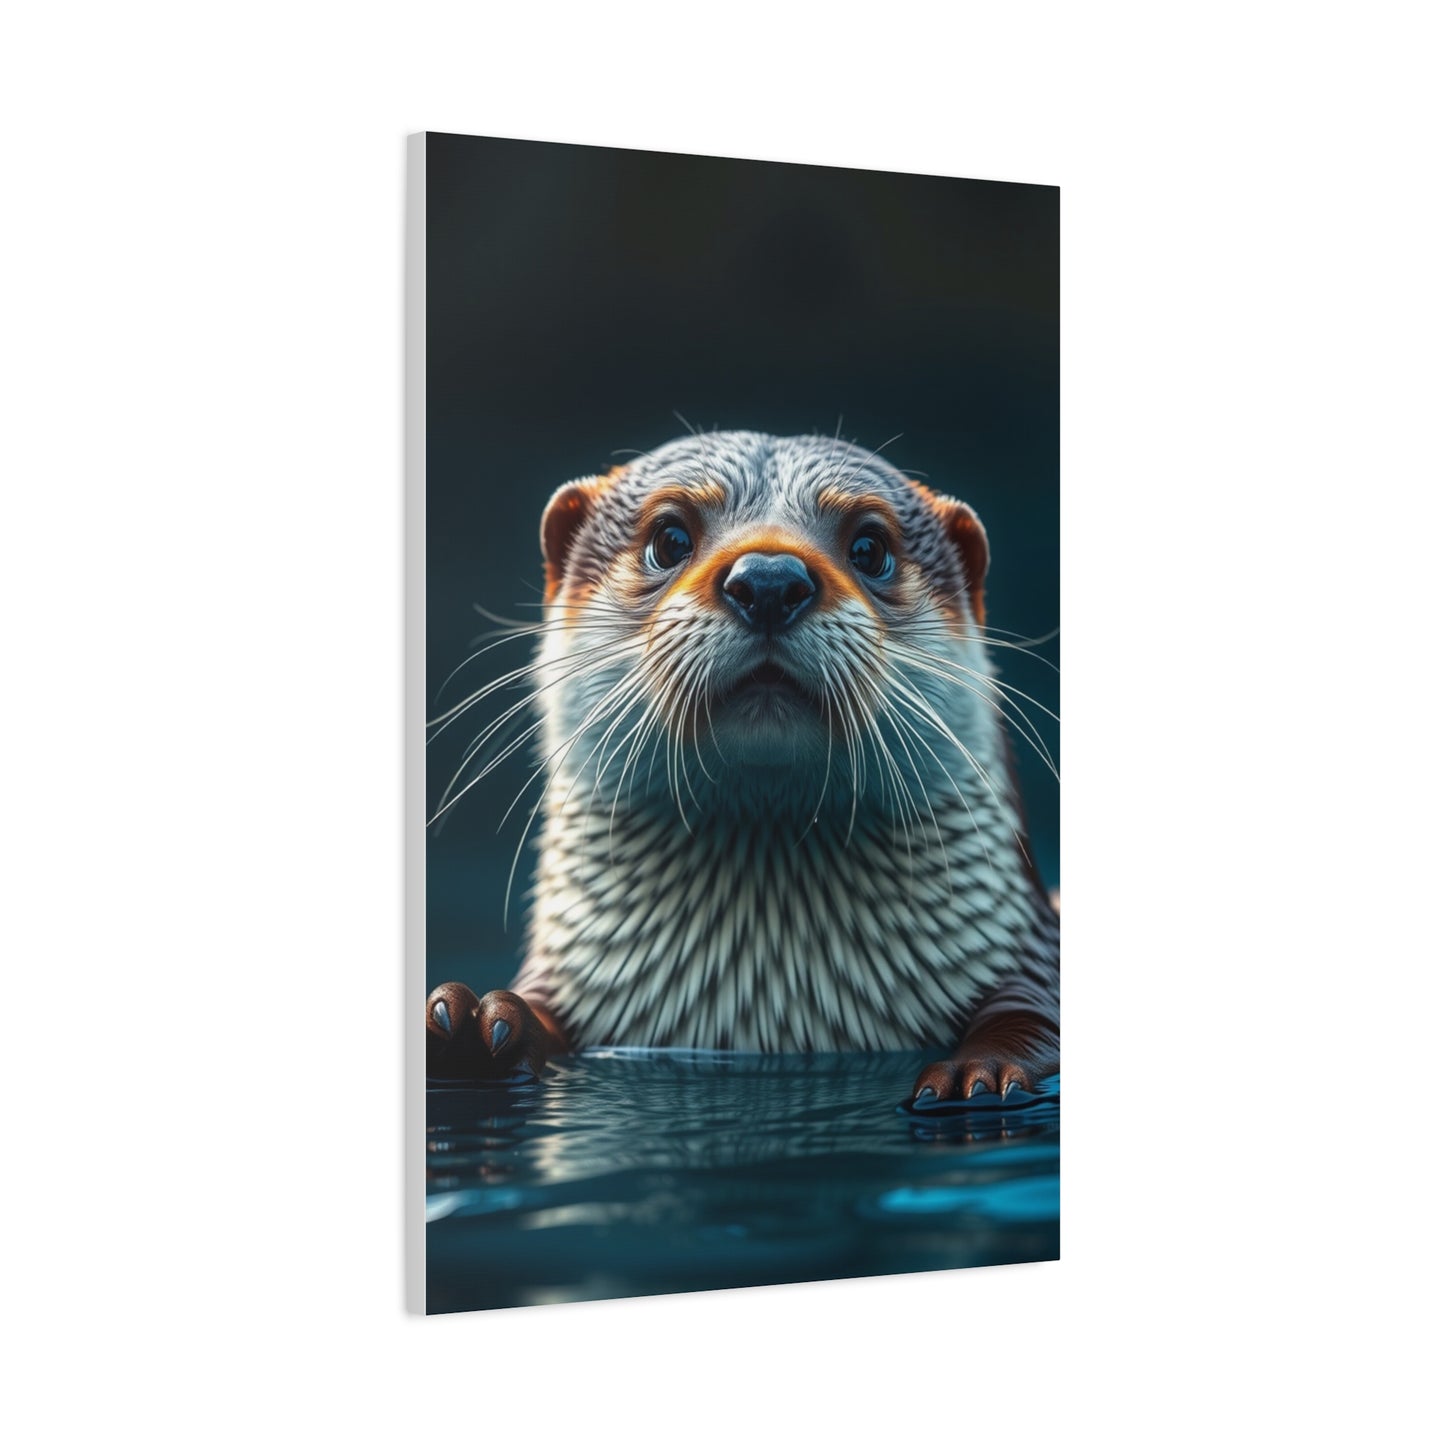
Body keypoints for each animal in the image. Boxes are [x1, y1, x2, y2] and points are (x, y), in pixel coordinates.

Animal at [425, 431, 1059, 1103]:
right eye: (669, 539)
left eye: (870, 548)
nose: (770, 579)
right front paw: (472, 1023)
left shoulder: (1028, 958)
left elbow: (1030, 1019)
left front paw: (981, 1072)